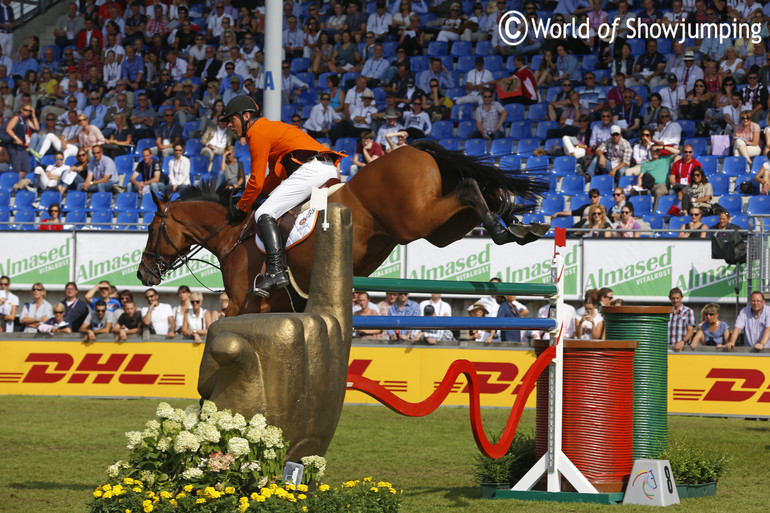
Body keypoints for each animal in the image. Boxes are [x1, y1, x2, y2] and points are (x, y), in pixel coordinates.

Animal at [138, 141, 544, 316]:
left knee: (469, 188)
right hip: (436, 230)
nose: (143, 274)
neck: (231, 235)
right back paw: (515, 222)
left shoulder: (241, 305)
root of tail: (417, 148)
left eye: (153, 229)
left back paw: (503, 226)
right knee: (477, 197)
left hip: (414, 220)